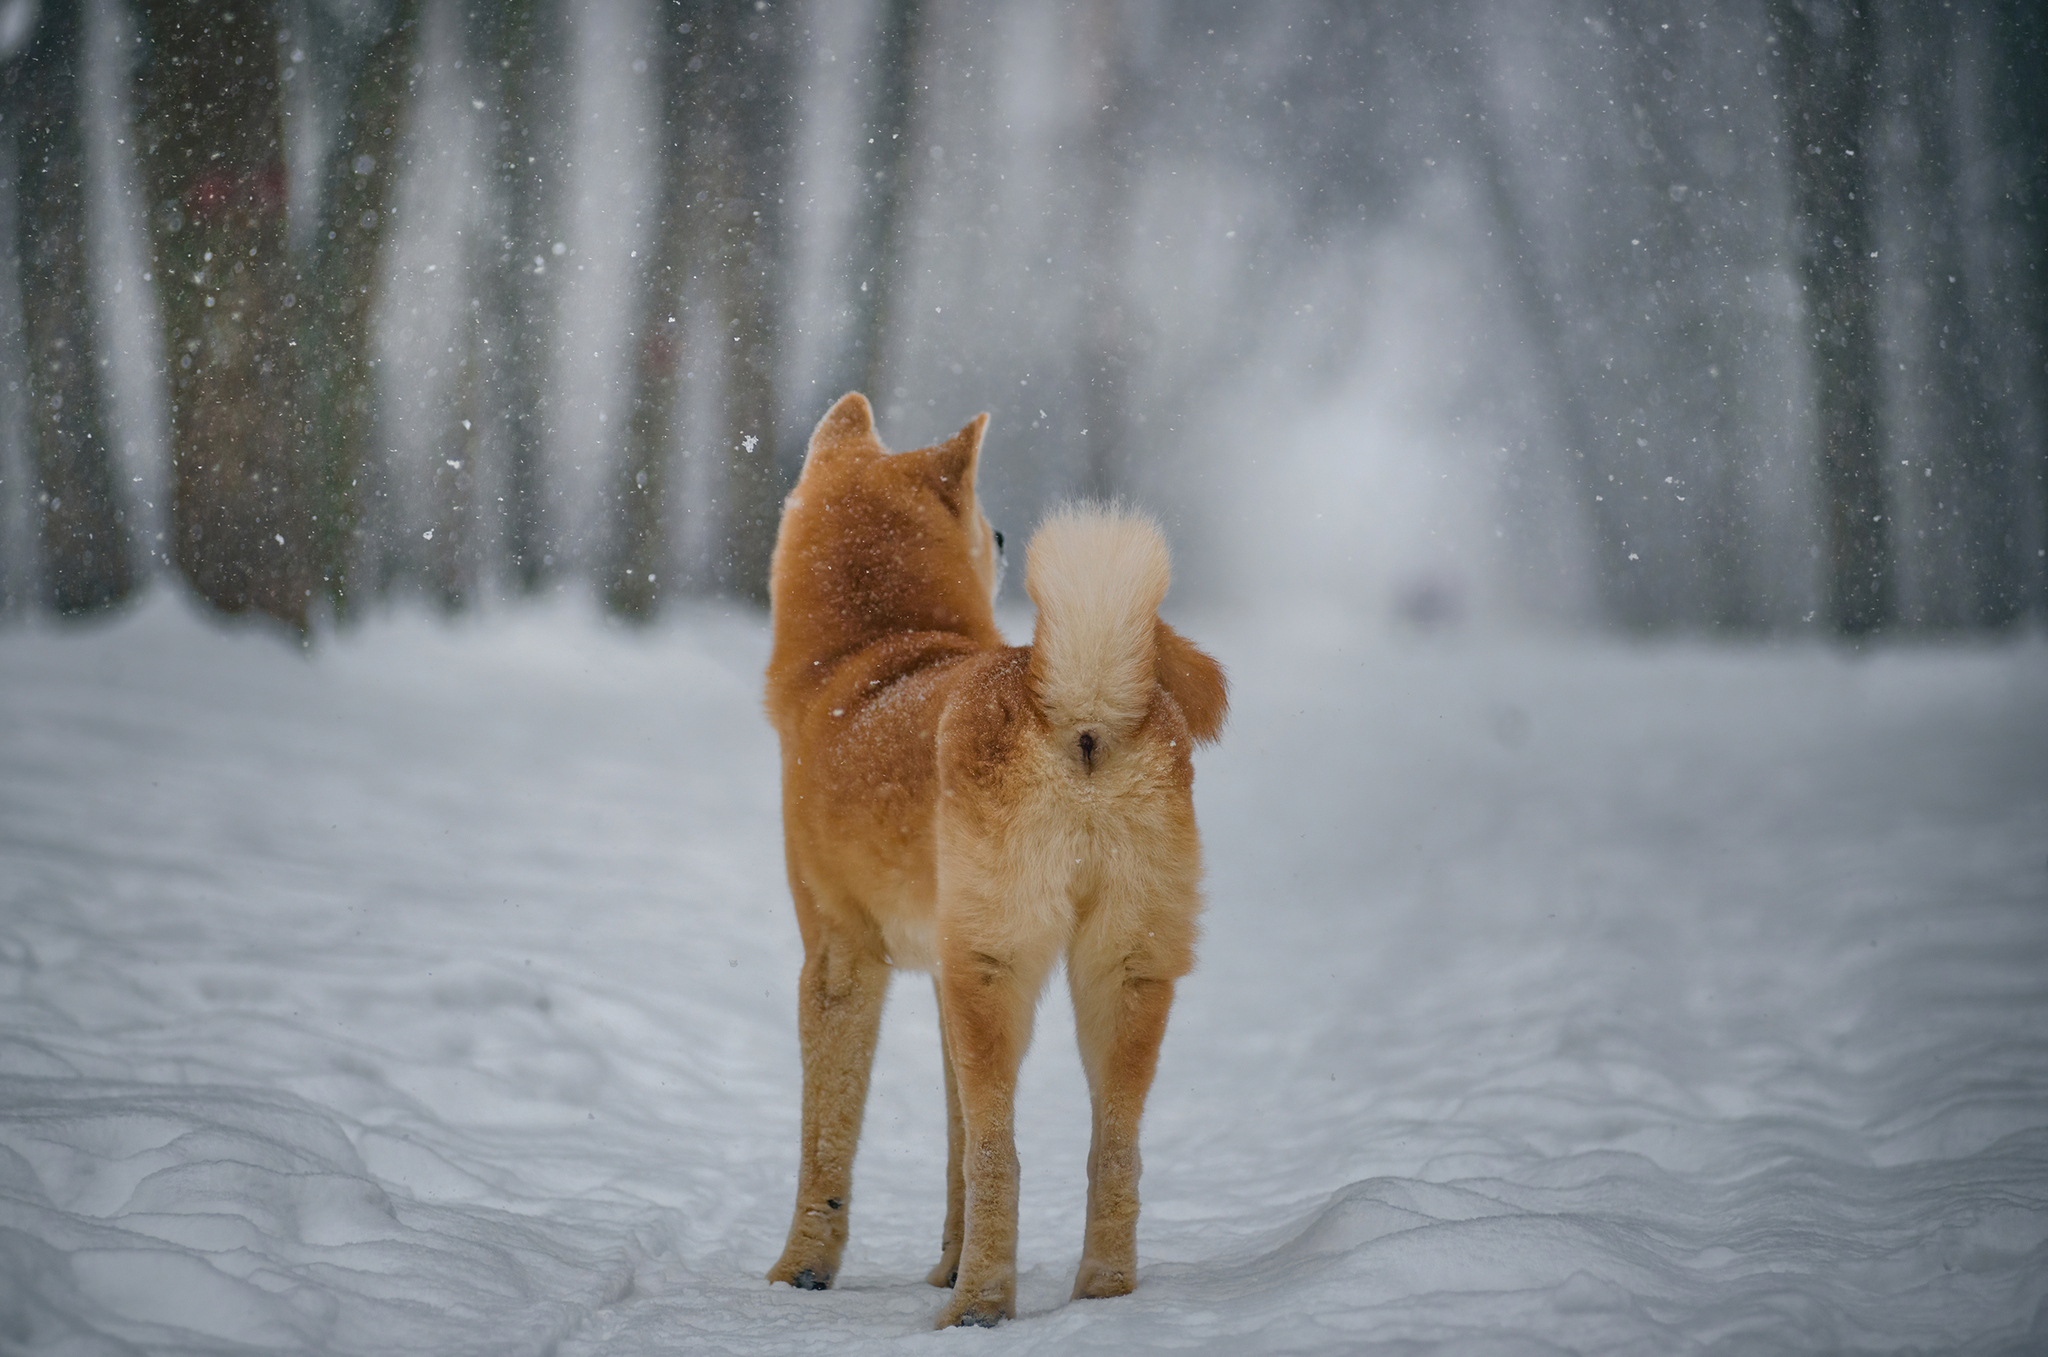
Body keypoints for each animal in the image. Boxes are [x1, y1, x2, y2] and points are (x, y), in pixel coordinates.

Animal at [761, 390, 1220, 1326]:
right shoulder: (946, 984)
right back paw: (1100, 1294)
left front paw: (801, 1271)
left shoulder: (839, 962)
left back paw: (976, 1306)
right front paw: (942, 1259)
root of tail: (1079, 708)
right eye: (979, 516)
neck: (865, 661)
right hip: (1116, 977)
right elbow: (953, 1151)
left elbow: (829, 1146)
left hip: (1000, 973)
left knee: (1003, 1157)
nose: (1005, 533)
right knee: (1111, 1151)